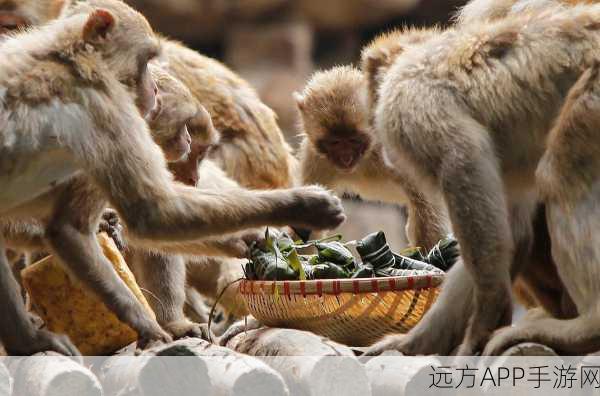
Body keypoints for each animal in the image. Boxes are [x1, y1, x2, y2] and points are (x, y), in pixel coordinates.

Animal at [0, 0, 346, 356]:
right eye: (187, 143)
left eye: (198, 151)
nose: (192, 174)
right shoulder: (105, 121)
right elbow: (143, 216)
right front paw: (303, 205)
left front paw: (246, 239)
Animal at [364, 4, 600, 356]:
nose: (372, 133)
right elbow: (511, 231)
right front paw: (417, 341)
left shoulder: (408, 97)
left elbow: (464, 157)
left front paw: (489, 313)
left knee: (561, 173)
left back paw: (586, 329)